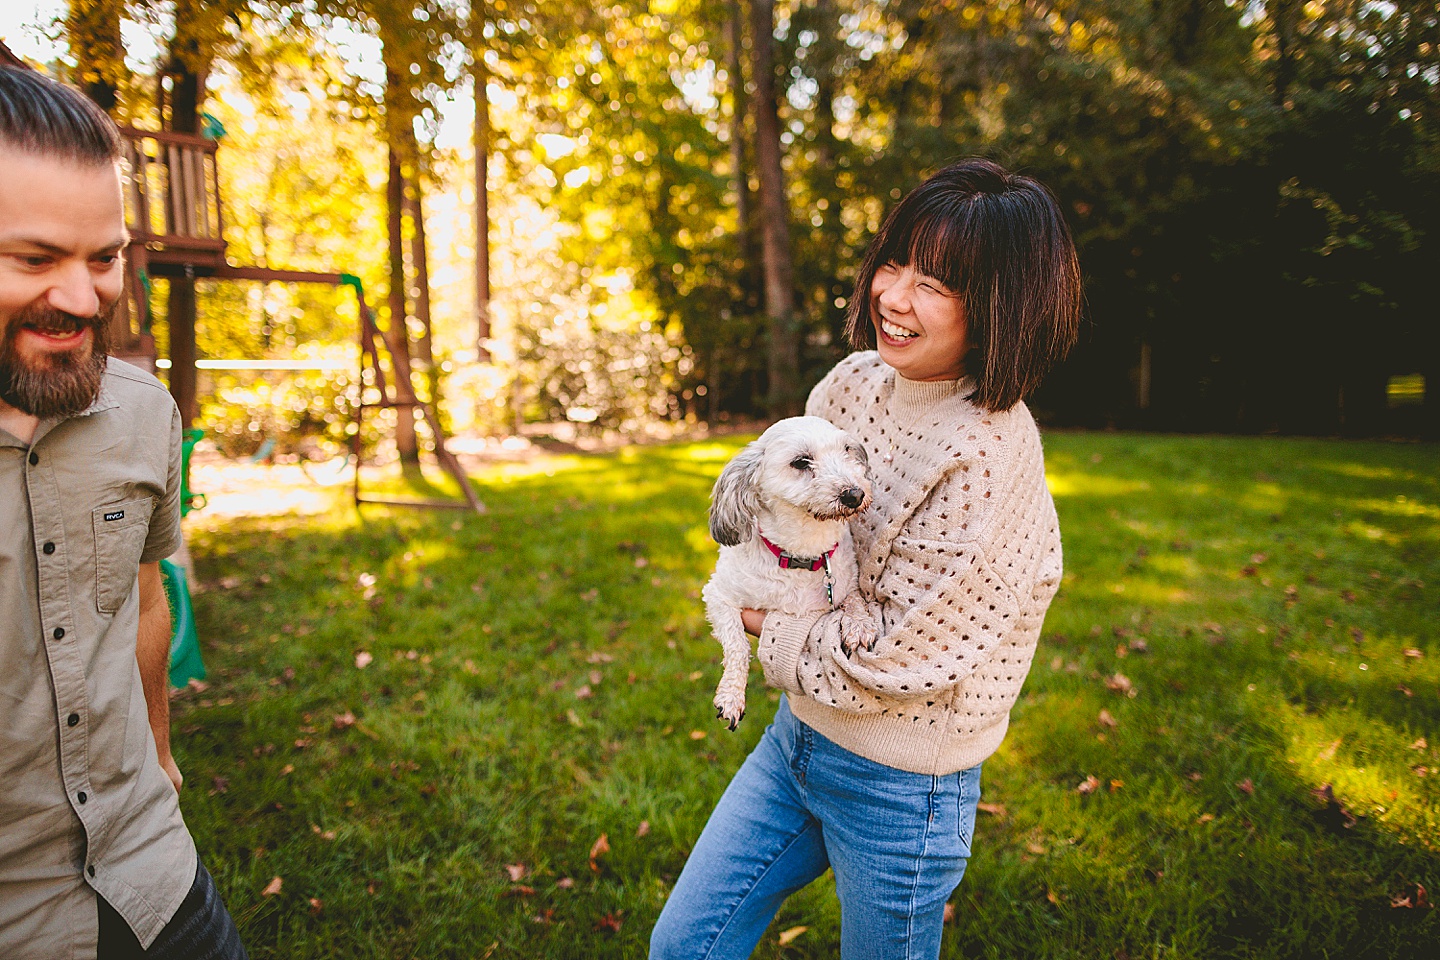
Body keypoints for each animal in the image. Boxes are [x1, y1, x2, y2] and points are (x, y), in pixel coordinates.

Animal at [699, 417, 869, 731]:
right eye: (801, 462)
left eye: (847, 451)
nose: (855, 494)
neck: (803, 555)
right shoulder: (718, 595)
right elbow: (737, 643)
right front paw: (731, 695)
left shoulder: (846, 584)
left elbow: (855, 599)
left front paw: (859, 624)